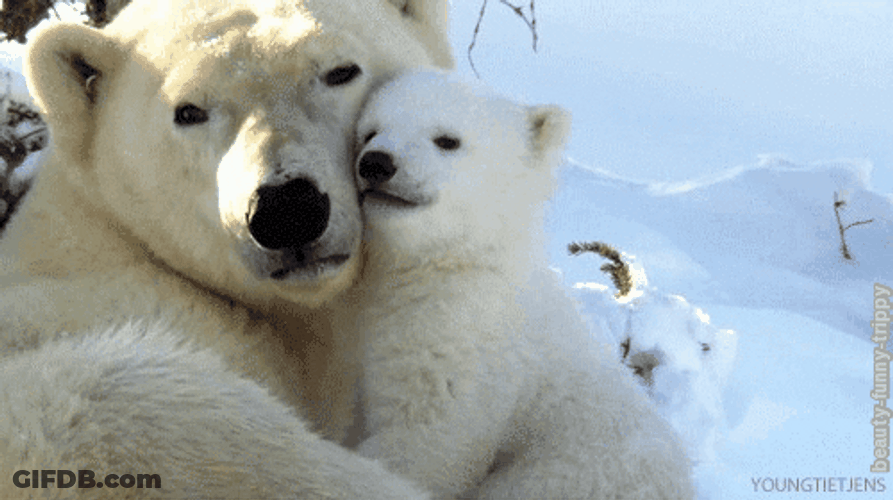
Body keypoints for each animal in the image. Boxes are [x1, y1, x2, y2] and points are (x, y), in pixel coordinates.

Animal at [332, 70, 696, 499]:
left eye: (447, 140)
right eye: (370, 131)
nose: (376, 163)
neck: (461, 261)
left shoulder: (467, 344)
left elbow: (427, 439)